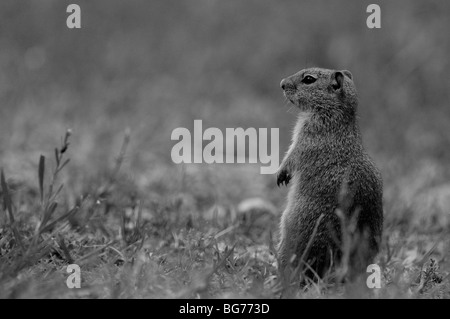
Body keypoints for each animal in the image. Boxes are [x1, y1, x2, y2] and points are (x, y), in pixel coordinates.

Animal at [278, 67, 384, 282]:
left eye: (309, 79)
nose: (282, 83)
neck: (334, 114)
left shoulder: (307, 137)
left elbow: (292, 155)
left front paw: (281, 174)